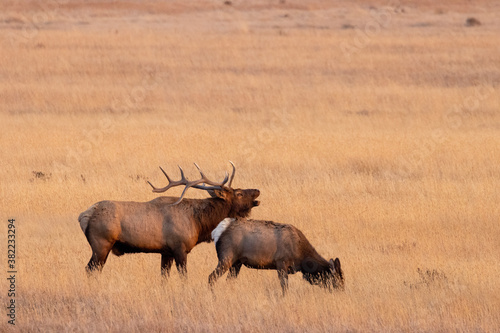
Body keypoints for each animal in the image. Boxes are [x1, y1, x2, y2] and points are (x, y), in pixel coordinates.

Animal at [78, 162, 262, 276]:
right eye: (239, 193)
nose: (257, 190)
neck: (199, 223)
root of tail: (83, 216)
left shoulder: (166, 252)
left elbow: (164, 278)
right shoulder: (180, 248)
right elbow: (183, 277)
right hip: (101, 244)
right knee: (89, 269)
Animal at [208, 218, 344, 294]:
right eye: (336, 279)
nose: (342, 290)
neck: (302, 259)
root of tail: (217, 232)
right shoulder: (281, 262)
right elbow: (284, 287)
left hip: (237, 263)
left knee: (229, 281)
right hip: (226, 258)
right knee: (211, 277)